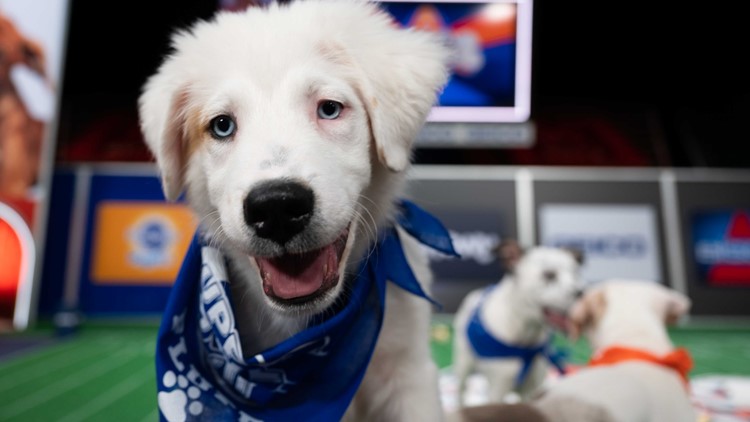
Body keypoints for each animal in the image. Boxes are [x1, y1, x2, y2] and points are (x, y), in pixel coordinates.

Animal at [450, 239, 584, 408]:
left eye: (576, 274)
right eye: (549, 275)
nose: (582, 292)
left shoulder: (531, 390)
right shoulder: (498, 390)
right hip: (463, 365)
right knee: (461, 391)